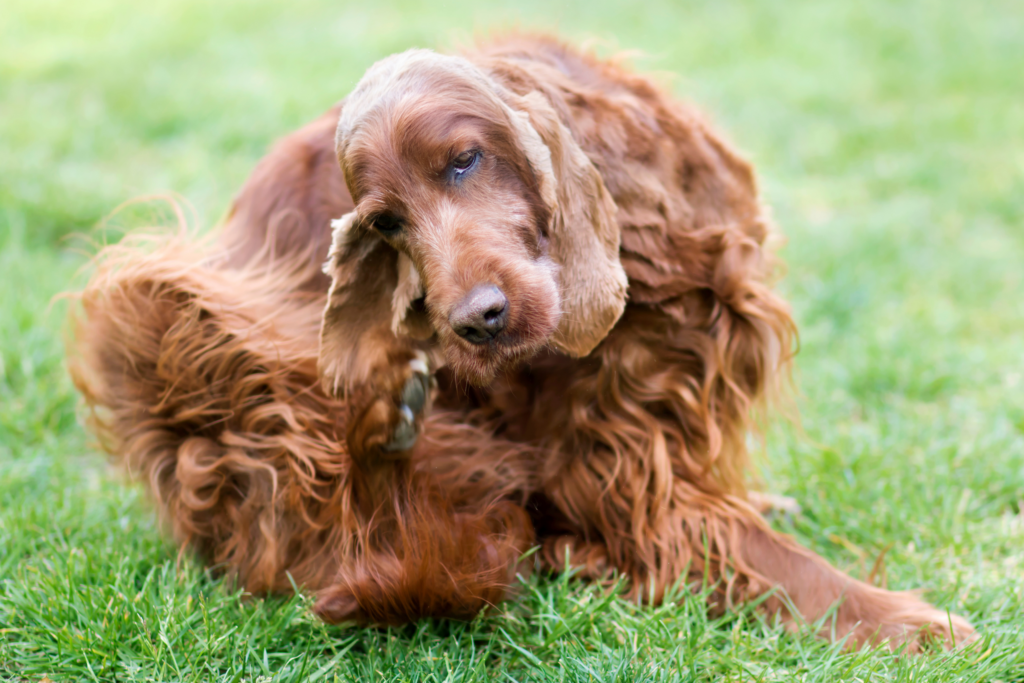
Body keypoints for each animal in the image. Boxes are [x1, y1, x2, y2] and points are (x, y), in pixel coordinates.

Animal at [66, 33, 974, 651]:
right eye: (387, 223)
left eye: (466, 160)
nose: (474, 320)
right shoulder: (603, 461)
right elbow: (744, 548)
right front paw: (901, 619)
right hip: (172, 312)